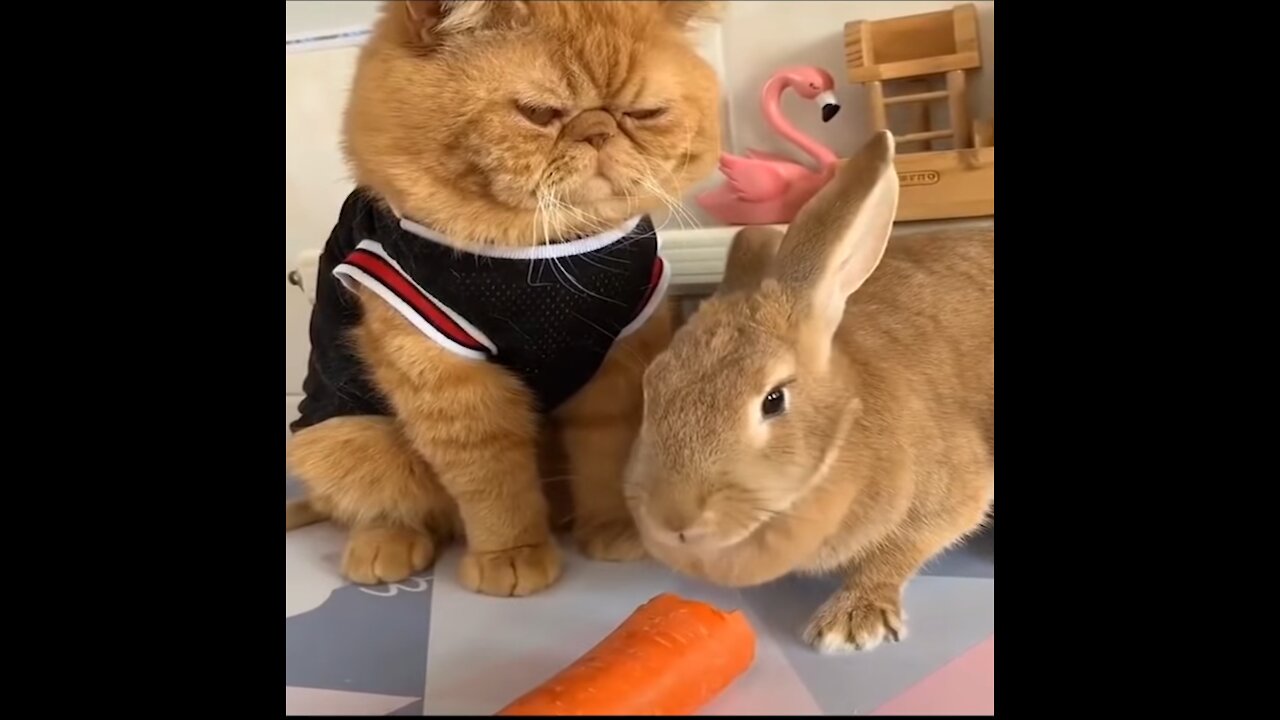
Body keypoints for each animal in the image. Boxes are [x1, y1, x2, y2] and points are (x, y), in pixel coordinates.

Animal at [288, 0, 721, 594]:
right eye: (539, 113)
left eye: (644, 113)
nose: (599, 131)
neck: (545, 258)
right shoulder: (453, 381)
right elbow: (494, 485)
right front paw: (512, 555)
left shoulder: (618, 364)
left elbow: (606, 459)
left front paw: (612, 528)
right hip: (346, 433)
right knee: (388, 504)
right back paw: (385, 546)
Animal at [624, 128, 993, 650]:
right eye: (652, 385)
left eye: (773, 400)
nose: (674, 519)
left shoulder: (952, 489)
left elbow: (904, 547)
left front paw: (851, 623)